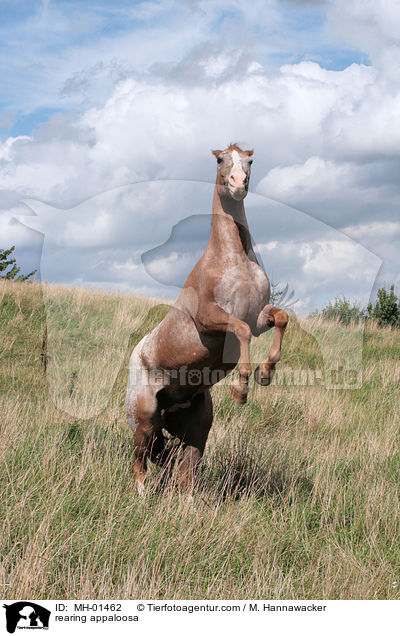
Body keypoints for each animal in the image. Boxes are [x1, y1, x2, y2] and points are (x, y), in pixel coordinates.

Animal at [125, 144, 288, 492]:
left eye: (250, 160)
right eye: (221, 159)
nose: (239, 183)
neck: (233, 260)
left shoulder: (258, 317)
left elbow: (281, 318)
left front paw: (265, 373)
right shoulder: (211, 321)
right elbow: (239, 330)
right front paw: (241, 389)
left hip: (196, 427)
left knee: (185, 472)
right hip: (144, 421)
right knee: (140, 464)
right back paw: (141, 497)